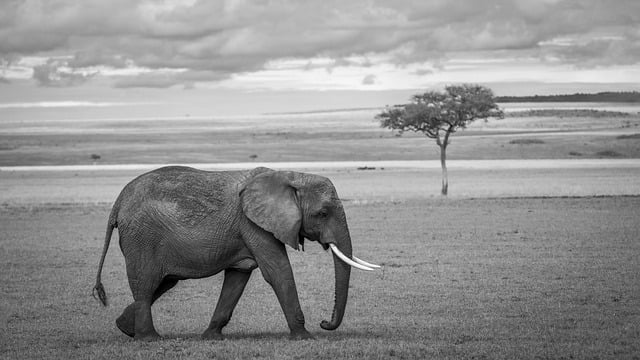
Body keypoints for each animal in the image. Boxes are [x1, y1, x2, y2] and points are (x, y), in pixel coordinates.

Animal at [92, 166, 378, 340]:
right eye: (323, 213)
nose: (324, 323)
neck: (291, 175)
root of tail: (118, 202)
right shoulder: (253, 224)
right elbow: (277, 271)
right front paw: (305, 337)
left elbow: (238, 277)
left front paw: (211, 337)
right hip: (141, 237)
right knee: (146, 283)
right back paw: (149, 338)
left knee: (162, 283)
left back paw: (125, 329)